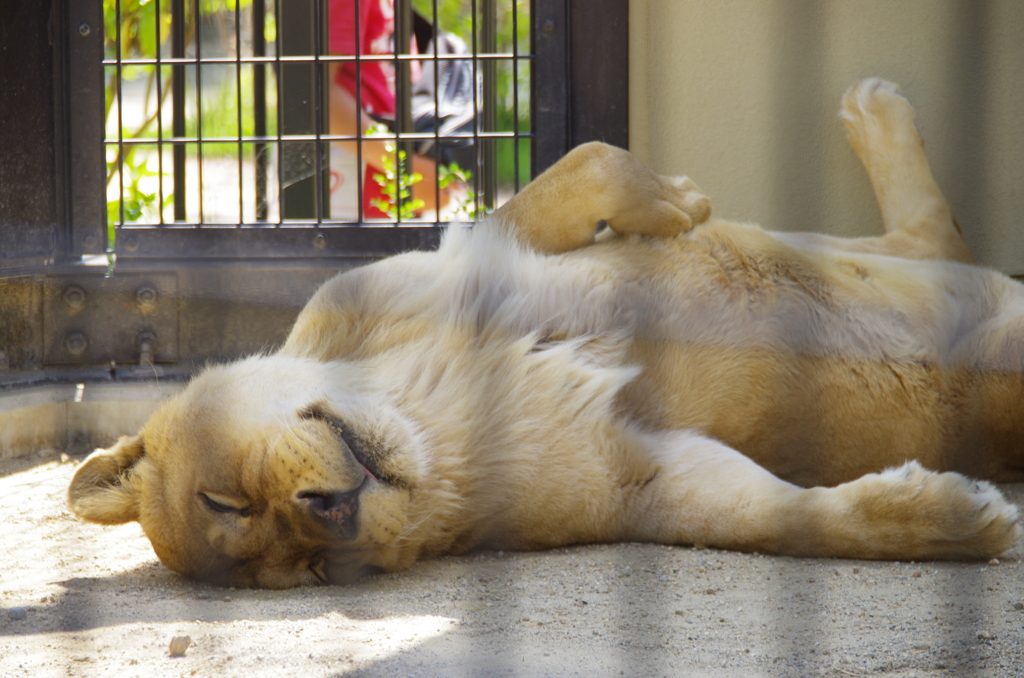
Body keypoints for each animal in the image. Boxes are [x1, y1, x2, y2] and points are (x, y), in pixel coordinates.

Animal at [68, 79, 1019, 589]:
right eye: (309, 572)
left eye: (221, 498)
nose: (332, 516)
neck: (435, 416)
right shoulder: (647, 479)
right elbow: (788, 520)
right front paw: (955, 520)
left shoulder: (462, 257)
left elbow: (583, 167)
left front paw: (678, 200)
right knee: (944, 242)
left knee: (938, 237)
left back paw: (873, 111)